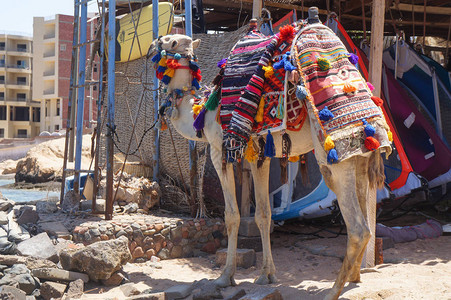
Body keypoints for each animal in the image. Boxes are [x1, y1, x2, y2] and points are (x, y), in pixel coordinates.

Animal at [150, 31, 390, 300]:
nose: (153, 43)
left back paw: (332, 291)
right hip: (361, 158)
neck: (201, 111)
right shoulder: (259, 156)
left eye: (169, 41)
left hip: (332, 158)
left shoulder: (219, 149)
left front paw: (225, 277)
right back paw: (354, 277)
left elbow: (231, 215)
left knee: (358, 228)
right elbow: (263, 215)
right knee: (367, 223)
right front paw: (267, 274)